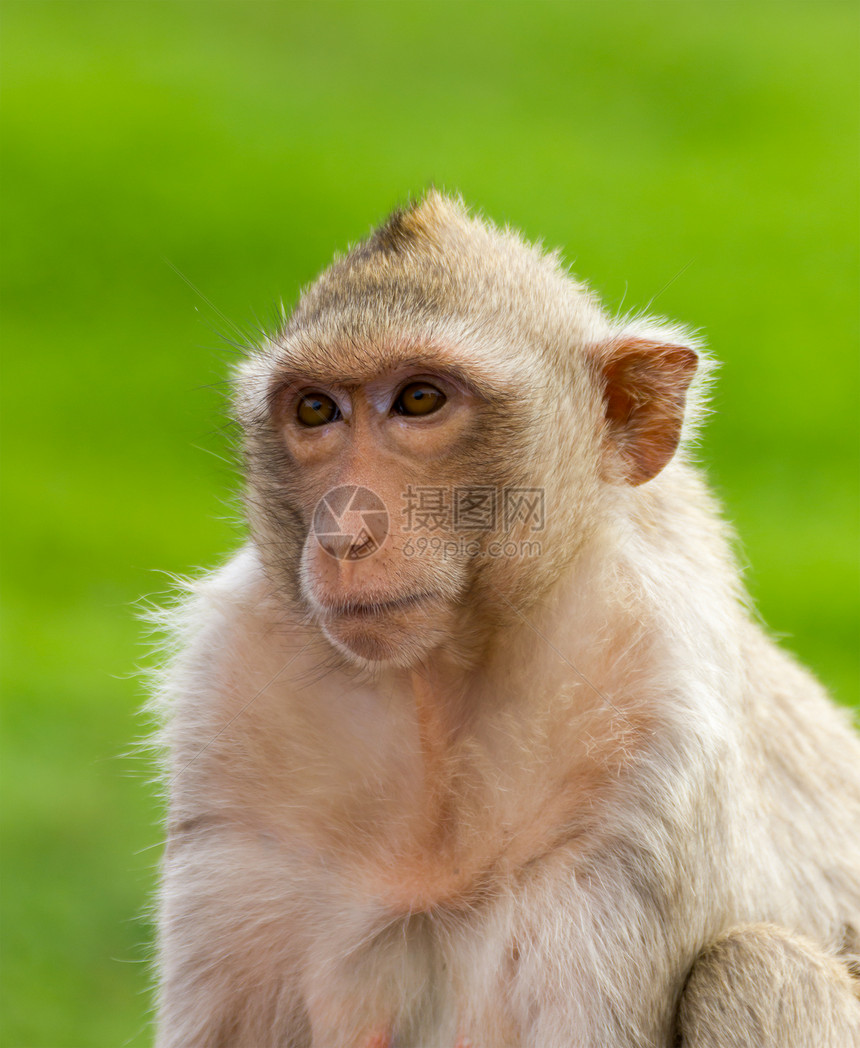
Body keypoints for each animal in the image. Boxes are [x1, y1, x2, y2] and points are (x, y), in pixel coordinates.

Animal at [152, 192, 858, 1043]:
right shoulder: (229, 714)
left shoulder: (648, 740)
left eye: (420, 399)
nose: (345, 531)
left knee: (755, 964)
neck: (435, 692)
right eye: (316, 410)